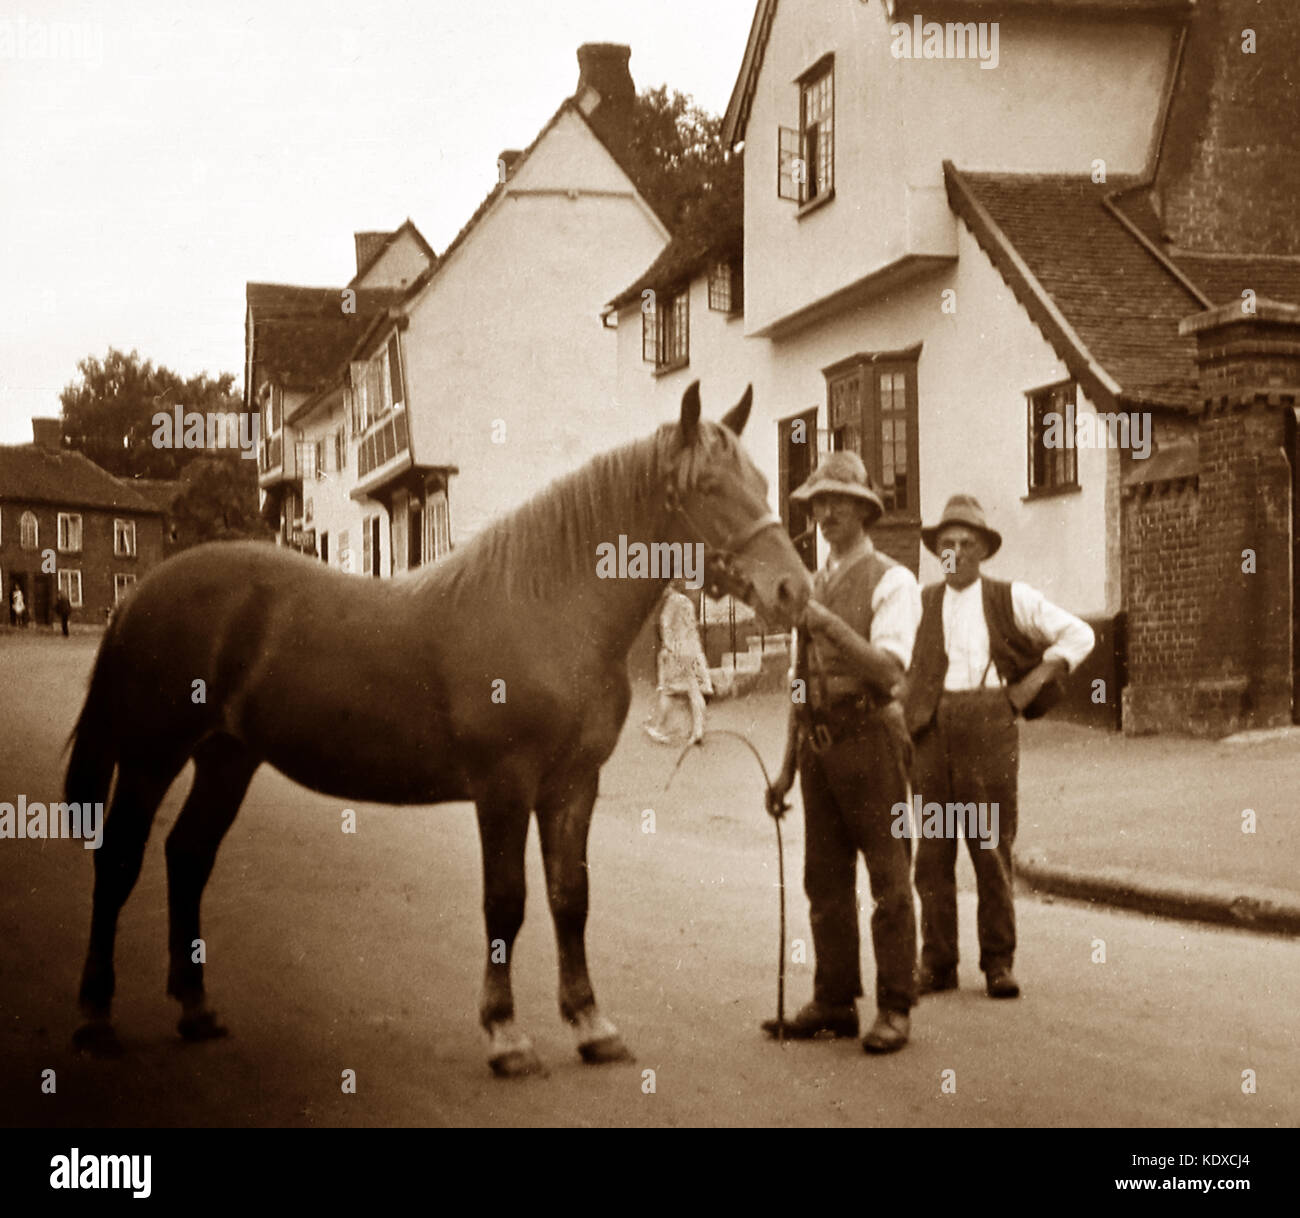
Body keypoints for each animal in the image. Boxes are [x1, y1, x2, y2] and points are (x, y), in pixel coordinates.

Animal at [68, 376, 811, 1076]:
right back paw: (95, 1017)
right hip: (151, 757)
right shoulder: (504, 787)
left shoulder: (573, 786)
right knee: (120, 859)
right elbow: (506, 902)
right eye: (709, 487)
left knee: (187, 855)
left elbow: (570, 898)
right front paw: (506, 1036)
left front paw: (591, 1025)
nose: (793, 590)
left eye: (761, 481)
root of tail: (141, 593)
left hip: (226, 758)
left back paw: (195, 1009)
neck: (547, 608)